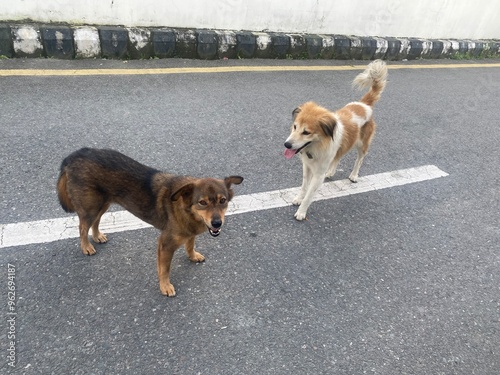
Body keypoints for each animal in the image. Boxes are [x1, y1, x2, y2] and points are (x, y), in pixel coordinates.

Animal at [57, 148, 243, 298]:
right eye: (202, 202)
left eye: (223, 200)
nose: (217, 223)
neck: (187, 209)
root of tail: (74, 155)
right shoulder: (165, 245)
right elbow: (165, 269)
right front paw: (165, 286)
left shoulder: (189, 234)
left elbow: (190, 245)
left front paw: (192, 256)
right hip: (91, 206)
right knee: (82, 227)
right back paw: (86, 246)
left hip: (103, 203)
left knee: (95, 222)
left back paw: (97, 236)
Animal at [286, 59, 386, 220]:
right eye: (295, 127)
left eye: (306, 132)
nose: (287, 144)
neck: (317, 145)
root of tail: (364, 104)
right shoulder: (307, 167)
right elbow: (303, 187)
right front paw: (298, 198)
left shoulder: (318, 175)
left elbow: (309, 195)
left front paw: (302, 212)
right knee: (338, 156)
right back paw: (331, 172)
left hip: (362, 145)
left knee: (359, 160)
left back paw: (353, 175)